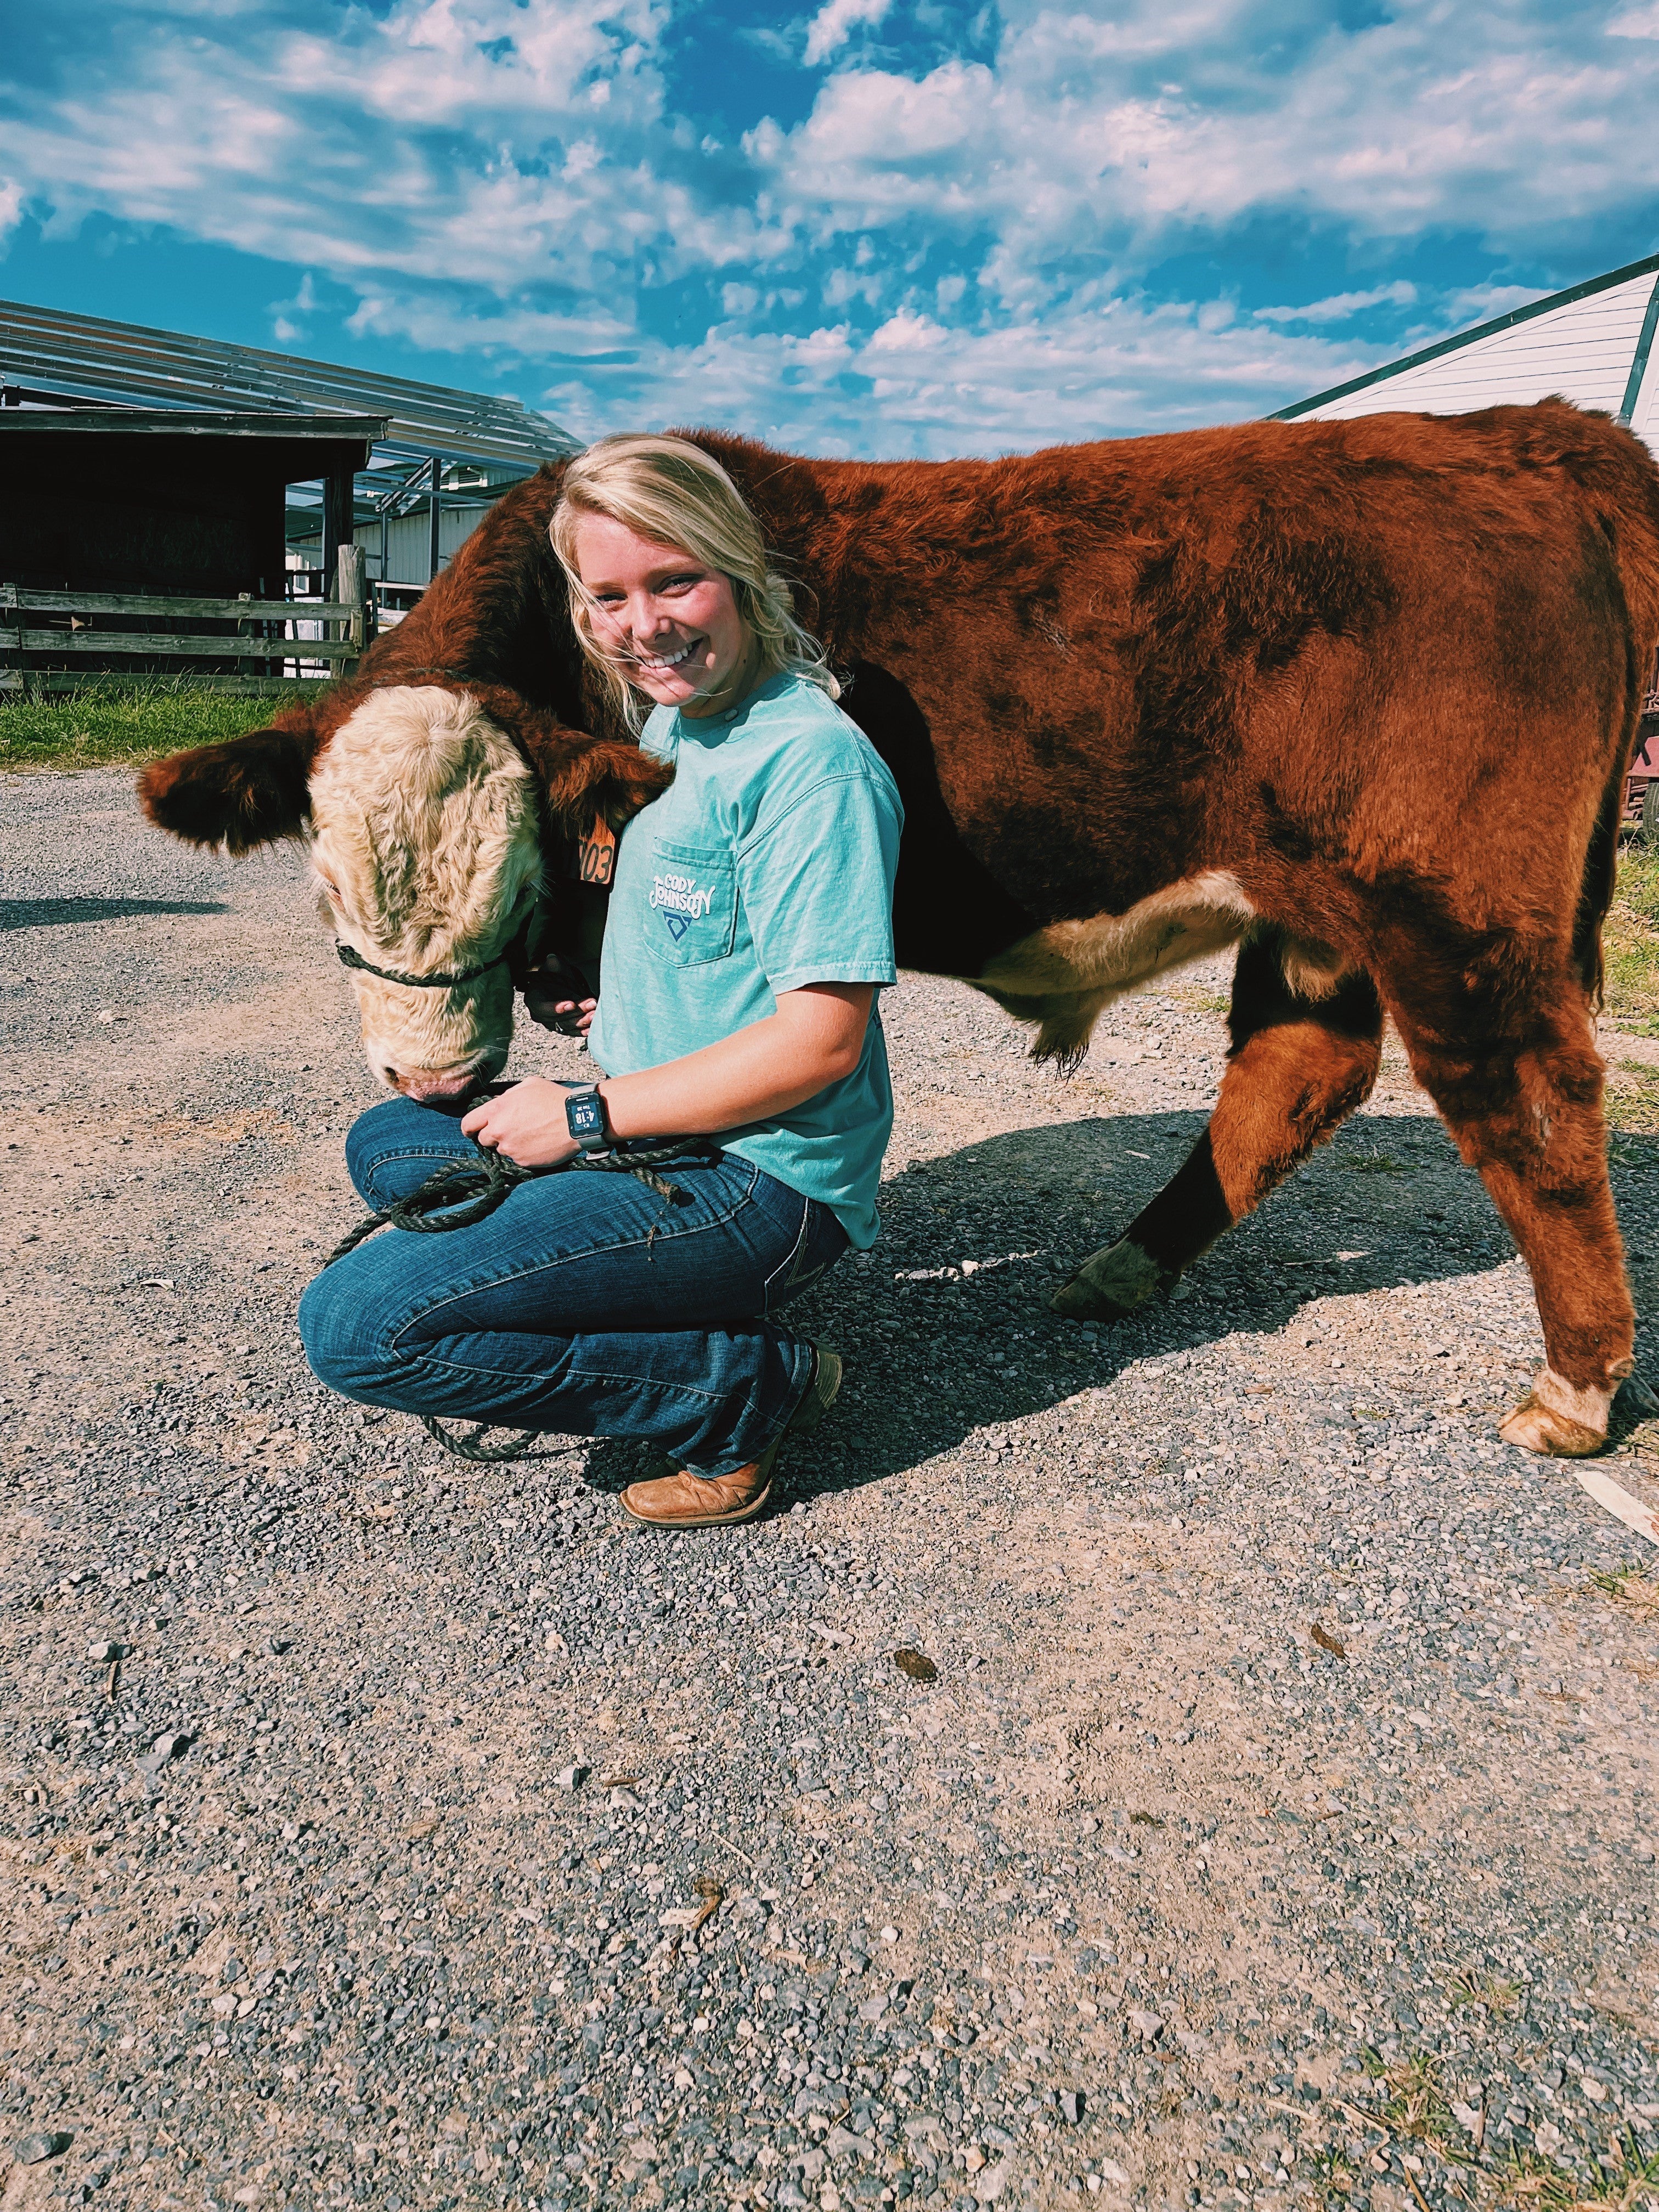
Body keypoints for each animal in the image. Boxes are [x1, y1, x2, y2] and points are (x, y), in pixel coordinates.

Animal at [140, 404, 1659, 1460]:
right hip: (1311, 906)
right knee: (1298, 1069)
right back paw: (1126, 1266)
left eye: (518, 887)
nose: (437, 1085)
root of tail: (1510, 435)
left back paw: (1577, 1390)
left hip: (1453, 909)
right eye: (328, 893)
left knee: (1529, 1103)